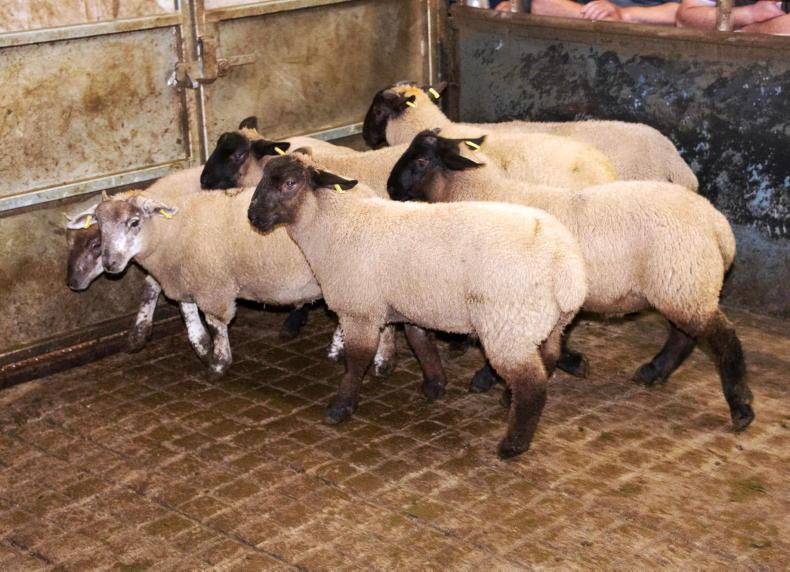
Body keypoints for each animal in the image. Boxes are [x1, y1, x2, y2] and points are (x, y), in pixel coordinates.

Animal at [246, 152, 588, 459]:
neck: (333, 225)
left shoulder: (360, 309)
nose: (252, 217)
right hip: (545, 324)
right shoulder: (410, 303)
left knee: (532, 385)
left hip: (508, 324)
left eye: (290, 183)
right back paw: (509, 398)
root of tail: (566, 265)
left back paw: (513, 444)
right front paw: (435, 384)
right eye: (263, 178)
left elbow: (358, 359)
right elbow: (420, 340)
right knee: (548, 359)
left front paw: (341, 406)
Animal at [386, 130, 754, 432]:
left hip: (684, 280)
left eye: (420, 161)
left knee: (722, 339)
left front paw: (491, 379)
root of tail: (717, 224)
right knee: (684, 336)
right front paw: (572, 362)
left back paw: (741, 408)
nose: (390, 188)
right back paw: (653, 372)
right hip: (680, 283)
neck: (484, 191)